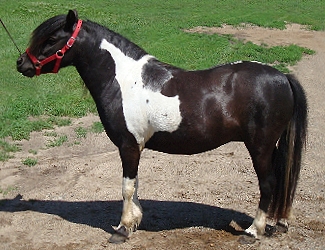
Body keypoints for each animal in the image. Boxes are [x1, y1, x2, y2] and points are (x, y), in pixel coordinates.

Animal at [17, 10, 306, 243]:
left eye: (52, 39)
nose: (22, 63)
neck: (124, 80)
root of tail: (282, 77)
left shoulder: (128, 145)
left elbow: (127, 187)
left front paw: (122, 229)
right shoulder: (136, 147)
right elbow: (135, 185)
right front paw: (134, 221)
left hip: (261, 147)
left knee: (268, 184)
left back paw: (253, 231)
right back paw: (279, 224)